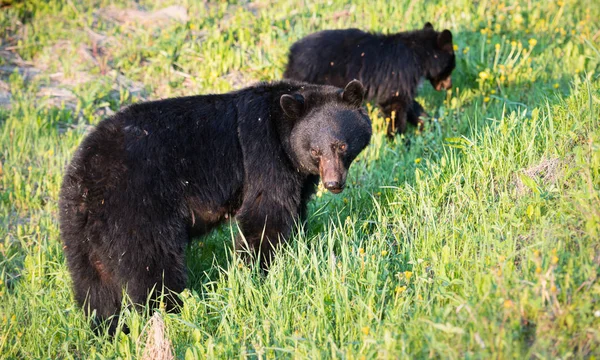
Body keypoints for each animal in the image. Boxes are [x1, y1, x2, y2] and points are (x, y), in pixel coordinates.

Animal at [59, 79, 370, 334]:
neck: (281, 128)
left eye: (342, 146)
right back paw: (168, 315)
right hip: (138, 207)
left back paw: (108, 328)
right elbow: (265, 213)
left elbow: (294, 210)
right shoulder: (264, 154)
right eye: (315, 150)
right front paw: (256, 273)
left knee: (94, 285)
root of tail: (85, 179)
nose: (333, 183)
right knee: (151, 266)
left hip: (81, 232)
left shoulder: (297, 174)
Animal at [284, 22, 454, 138]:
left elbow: (410, 104)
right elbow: (394, 105)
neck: (418, 54)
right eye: (451, 67)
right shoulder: (399, 75)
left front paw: (429, 123)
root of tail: (292, 53)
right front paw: (398, 138)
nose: (448, 87)